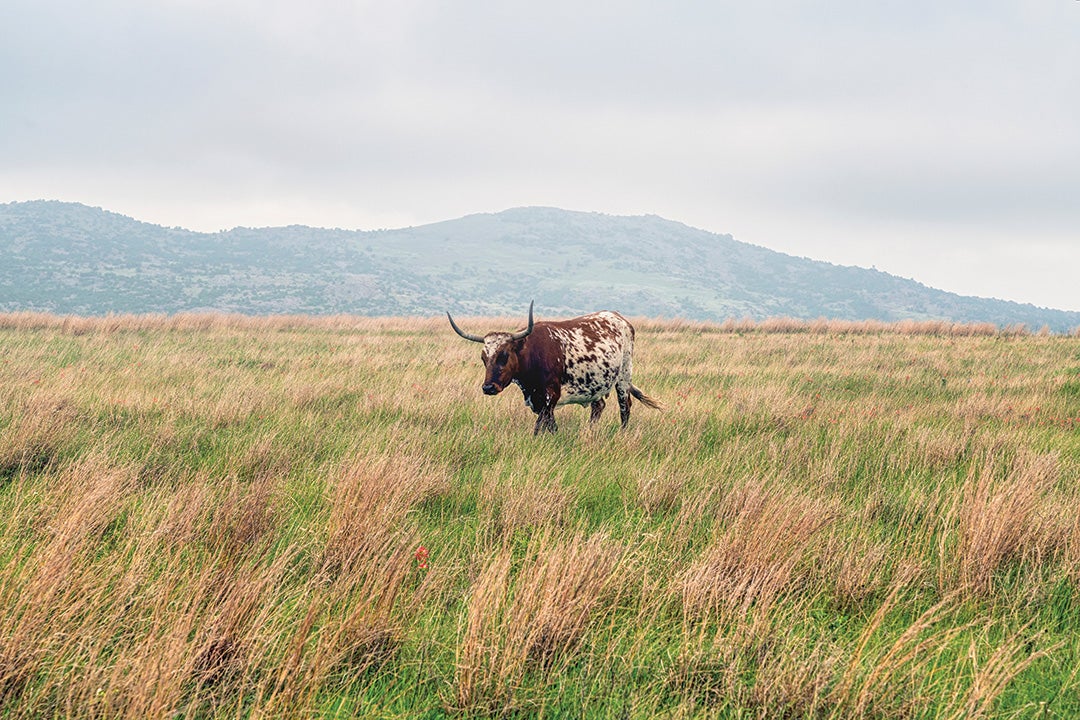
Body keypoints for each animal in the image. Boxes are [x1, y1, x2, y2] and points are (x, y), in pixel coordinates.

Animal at [447, 300, 656, 433]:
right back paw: (590, 432)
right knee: (598, 406)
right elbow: (549, 424)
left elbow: (540, 426)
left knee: (625, 407)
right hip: (597, 384)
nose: (489, 387)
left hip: (624, 376)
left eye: (504, 355)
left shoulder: (550, 396)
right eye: (483, 358)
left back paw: (622, 433)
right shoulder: (538, 400)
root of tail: (619, 317)